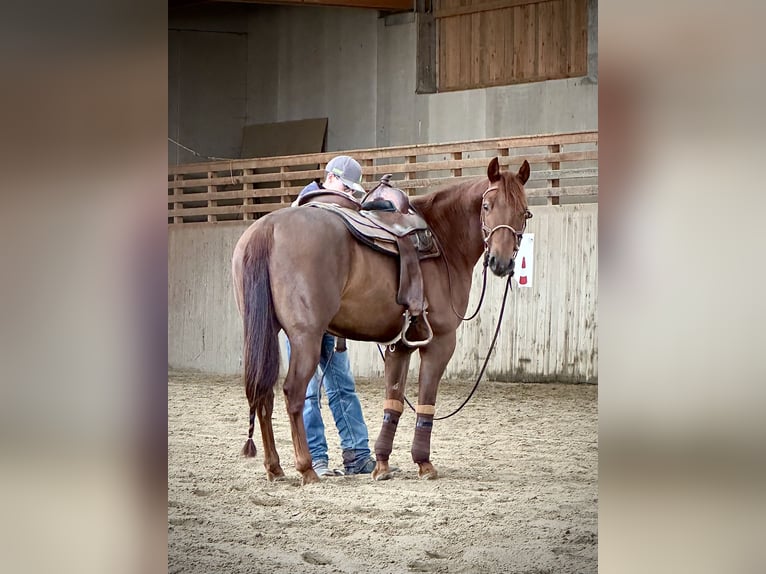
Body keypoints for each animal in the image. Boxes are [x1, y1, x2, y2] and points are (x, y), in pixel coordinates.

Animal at [231, 157, 532, 485]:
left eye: (523, 211)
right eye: (487, 205)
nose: (501, 263)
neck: (442, 240)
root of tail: (267, 228)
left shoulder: (399, 345)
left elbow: (394, 402)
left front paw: (382, 464)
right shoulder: (440, 342)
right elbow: (426, 400)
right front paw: (424, 463)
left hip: (263, 334)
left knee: (264, 393)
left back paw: (275, 467)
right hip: (305, 337)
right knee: (293, 393)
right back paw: (307, 468)